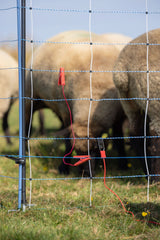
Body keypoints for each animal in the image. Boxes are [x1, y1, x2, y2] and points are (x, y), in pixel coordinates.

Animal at [112, 27, 160, 182]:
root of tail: (123, 68)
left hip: (129, 103)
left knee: (136, 134)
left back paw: (147, 173)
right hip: (154, 98)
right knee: (155, 136)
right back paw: (155, 180)